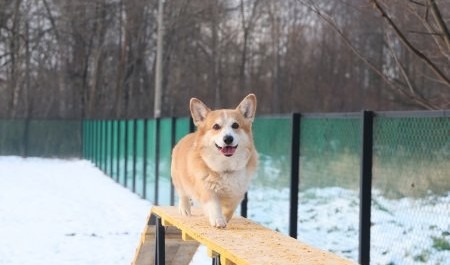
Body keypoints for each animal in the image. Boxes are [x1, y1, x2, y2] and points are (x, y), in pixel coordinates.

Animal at [171, 93, 258, 227]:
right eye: (216, 126)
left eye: (235, 125)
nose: (228, 139)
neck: (226, 166)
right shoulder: (207, 190)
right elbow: (214, 205)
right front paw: (218, 220)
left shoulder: (238, 193)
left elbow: (230, 208)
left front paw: (225, 218)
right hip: (178, 178)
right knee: (183, 193)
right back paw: (185, 209)